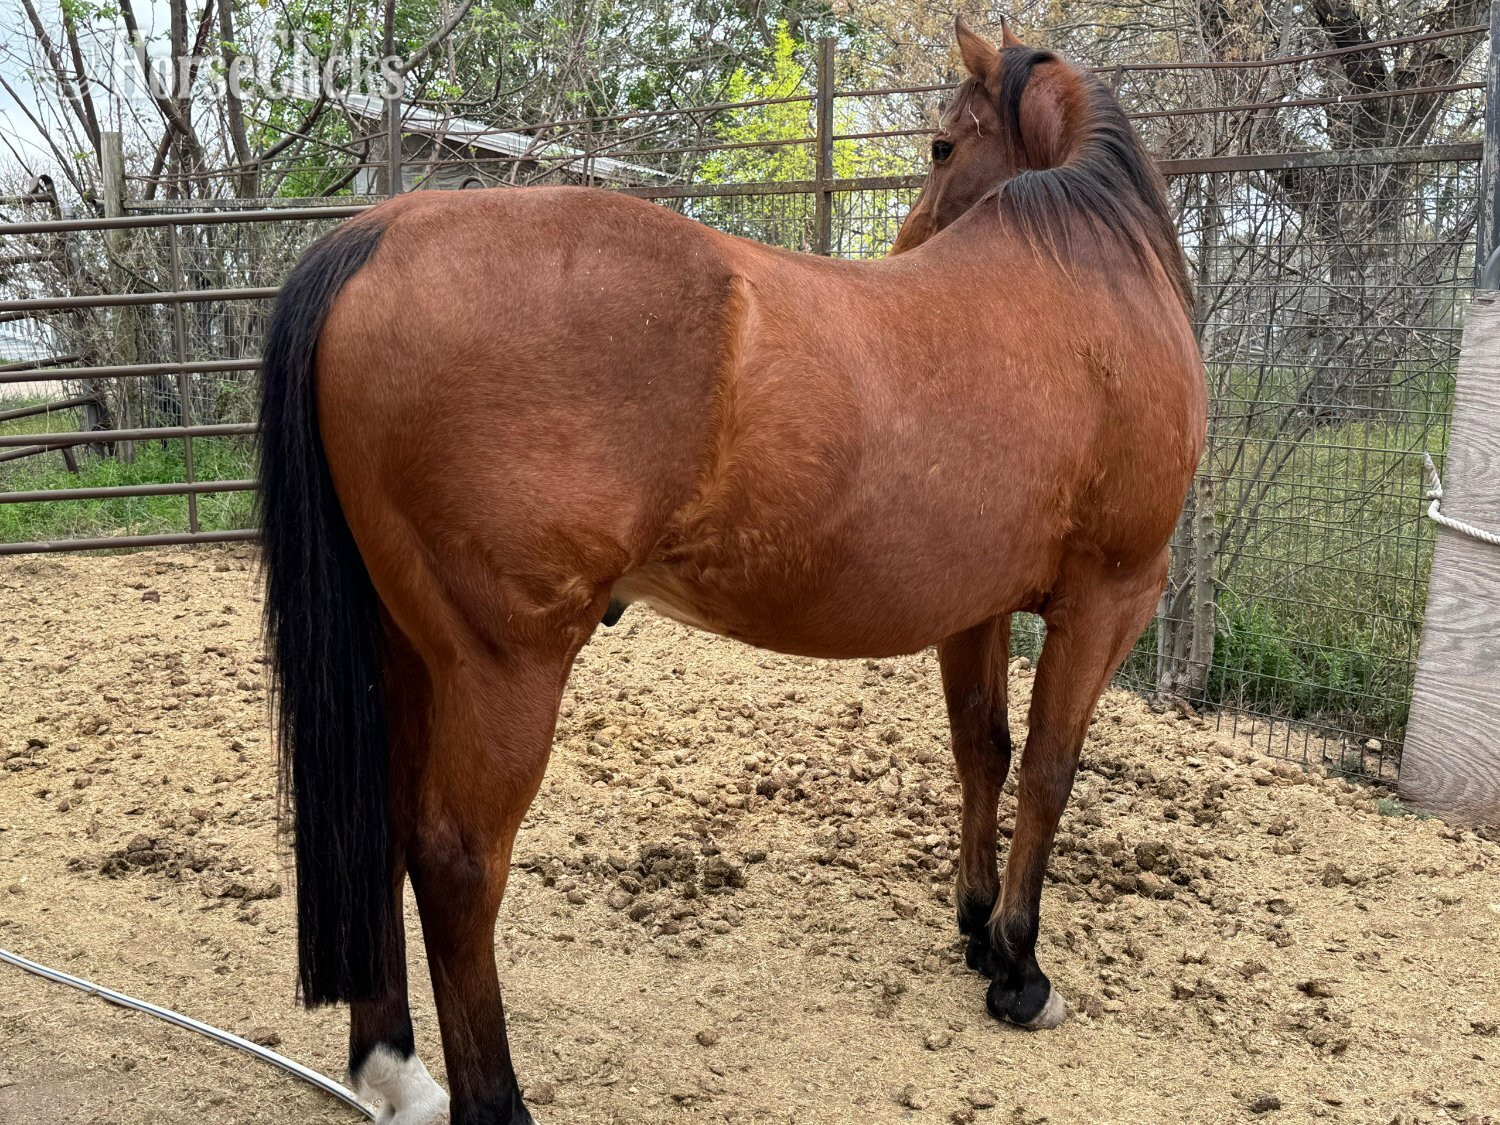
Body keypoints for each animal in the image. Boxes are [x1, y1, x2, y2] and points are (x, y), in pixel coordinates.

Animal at [258, 19, 1205, 1124]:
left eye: (940, 145)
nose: (907, 244)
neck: (1092, 279)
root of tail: (376, 235)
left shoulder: (976, 607)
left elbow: (985, 749)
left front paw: (976, 929)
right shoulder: (1110, 596)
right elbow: (1053, 768)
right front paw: (1019, 969)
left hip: (403, 648)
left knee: (381, 826)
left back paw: (396, 1069)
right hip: (503, 666)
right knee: (456, 861)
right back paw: (495, 1100)